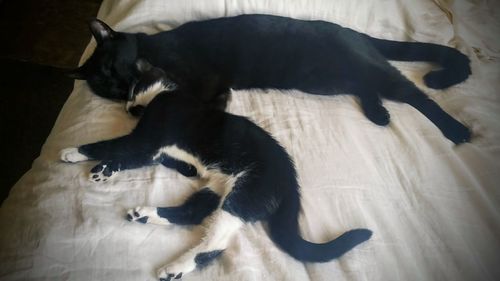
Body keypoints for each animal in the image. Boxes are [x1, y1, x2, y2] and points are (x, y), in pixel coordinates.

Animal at [60, 60, 372, 280]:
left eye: (132, 89)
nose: (126, 107)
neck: (169, 92)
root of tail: (290, 178)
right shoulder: (160, 152)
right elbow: (130, 157)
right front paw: (104, 170)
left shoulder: (148, 139)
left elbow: (112, 146)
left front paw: (74, 152)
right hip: (218, 185)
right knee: (192, 212)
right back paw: (145, 215)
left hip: (244, 193)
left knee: (216, 242)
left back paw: (174, 267)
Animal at [67, 14, 472, 143]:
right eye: (102, 84)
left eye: (113, 66)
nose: (118, 86)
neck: (151, 48)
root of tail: (353, 32)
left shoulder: (204, 80)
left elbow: (186, 101)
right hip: (325, 80)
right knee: (364, 87)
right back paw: (379, 114)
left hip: (361, 71)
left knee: (415, 94)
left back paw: (456, 130)